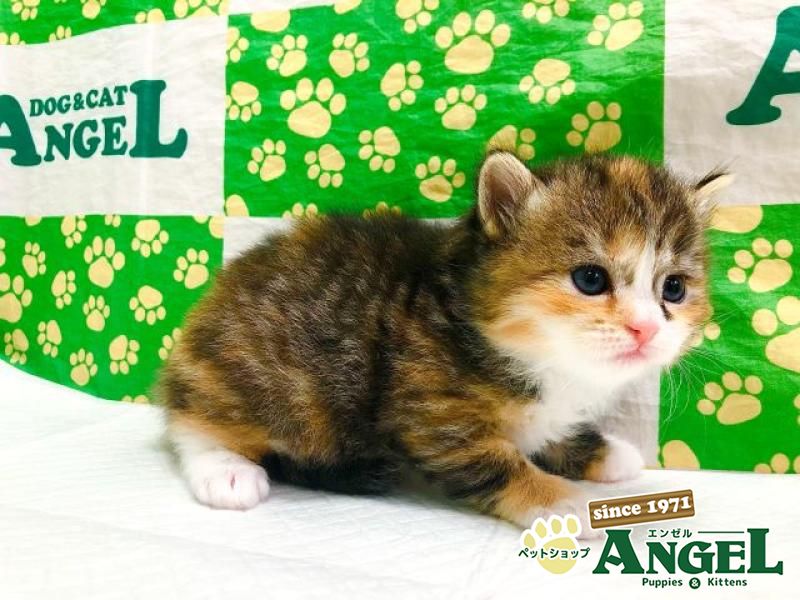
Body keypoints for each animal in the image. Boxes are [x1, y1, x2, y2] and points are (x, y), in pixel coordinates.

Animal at [159, 152, 729, 534]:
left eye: (673, 289)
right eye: (590, 279)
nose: (646, 328)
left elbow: (548, 428)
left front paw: (604, 452)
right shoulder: (430, 412)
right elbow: (497, 462)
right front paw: (562, 503)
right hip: (262, 381)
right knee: (190, 419)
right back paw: (226, 472)